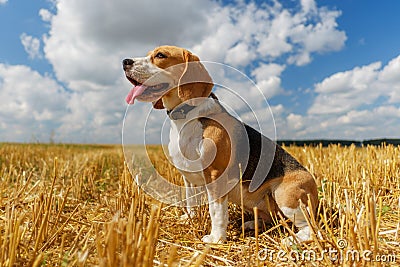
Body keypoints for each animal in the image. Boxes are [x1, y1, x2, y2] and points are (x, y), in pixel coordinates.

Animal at [123, 45, 318, 245]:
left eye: (161, 55)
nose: (125, 62)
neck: (188, 115)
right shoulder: (188, 177)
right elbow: (190, 201)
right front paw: (190, 218)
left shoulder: (215, 176)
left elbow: (216, 211)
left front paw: (216, 238)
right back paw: (252, 224)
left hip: (286, 195)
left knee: (312, 230)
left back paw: (291, 240)